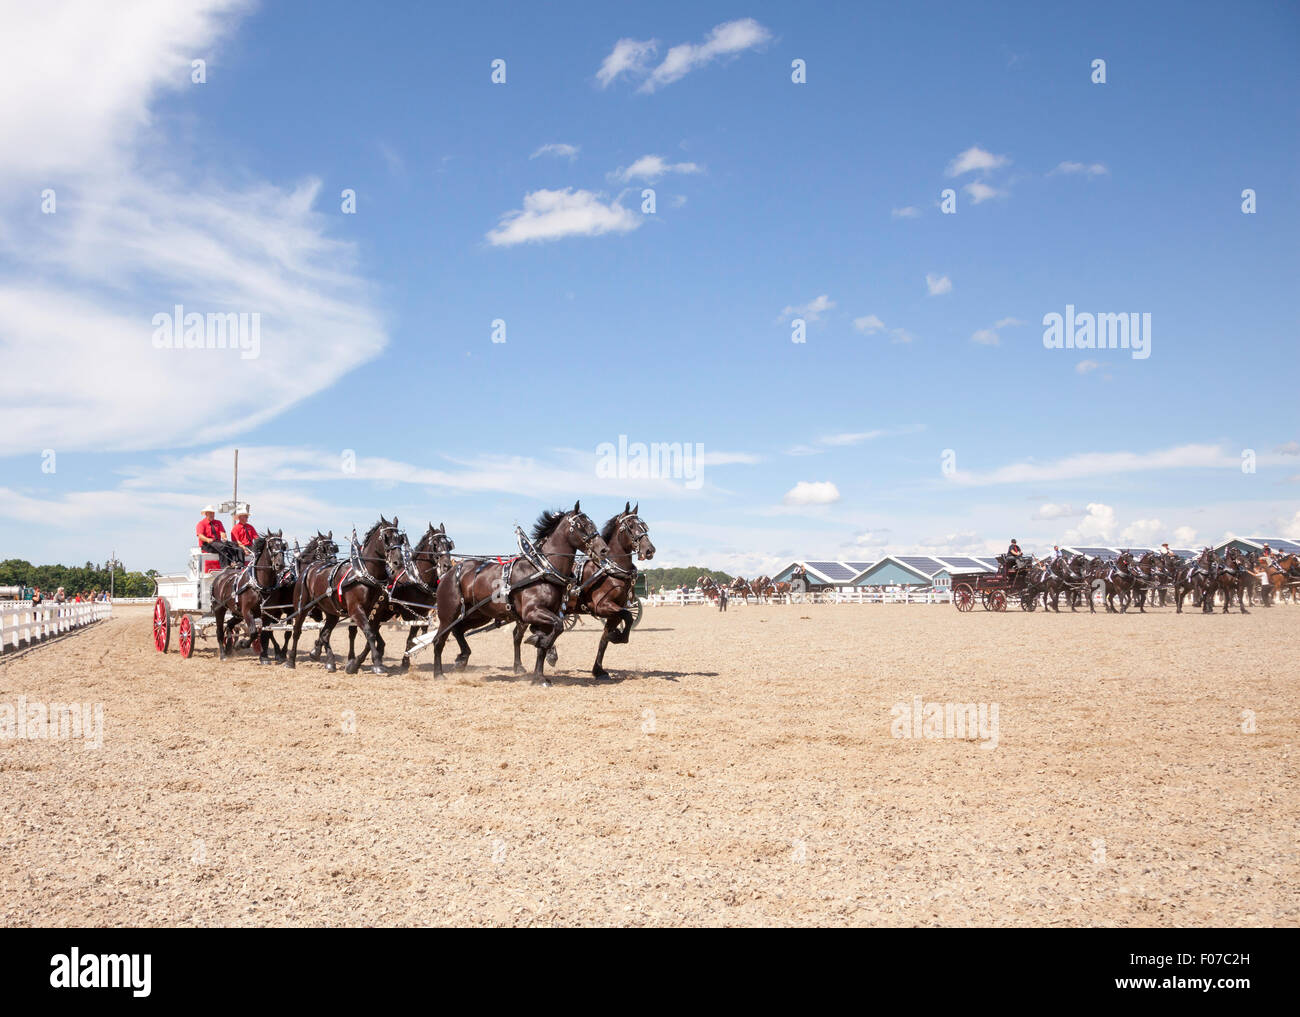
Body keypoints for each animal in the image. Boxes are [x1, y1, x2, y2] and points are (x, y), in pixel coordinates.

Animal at [211, 531, 287, 664]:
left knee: (229, 625)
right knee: (219, 631)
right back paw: (223, 654)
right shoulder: (247, 611)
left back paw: (229, 648)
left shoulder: (266, 614)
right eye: (271, 546)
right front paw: (241, 644)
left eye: (283, 546)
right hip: (219, 609)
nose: (280, 564)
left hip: (237, 613)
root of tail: (220, 577)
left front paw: (264, 657)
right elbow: (253, 632)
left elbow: (265, 634)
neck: (260, 585)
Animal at [284, 517, 408, 674]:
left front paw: (354, 665)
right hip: (302, 607)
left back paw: (330, 662)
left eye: (400, 539)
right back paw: (290, 661)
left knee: (325, 634)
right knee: (297, 631)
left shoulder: (376, 612)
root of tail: (310, 567)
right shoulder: (356, 610)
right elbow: (369, 633)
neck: (364, 574)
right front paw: (376, 663)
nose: (398, 562)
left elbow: (373, 636)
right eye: (385, 538)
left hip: (332, 612)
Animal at [432, 502, 608, 683]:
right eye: (581, 525)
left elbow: (545, 643)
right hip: (448, 615)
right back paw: (438, 674)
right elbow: (557, 627)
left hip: (478, 615)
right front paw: (538, 642)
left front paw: (539, 676)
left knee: (458, 630)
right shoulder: (531, 612)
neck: (542, 569)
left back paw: (462, 658)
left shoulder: (549, 614)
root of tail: (448, 573)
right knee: (438, 640)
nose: (604, 549)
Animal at [516, 502, 654, 679]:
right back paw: (521, 665)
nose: (650, 550)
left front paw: (599, 668)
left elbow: (605, 640)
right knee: (518, 634)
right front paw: (617, 636)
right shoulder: (602, 606)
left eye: (644, 526)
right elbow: (628, 616)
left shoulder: (615, 612)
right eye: (630, 526)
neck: (610, 571)